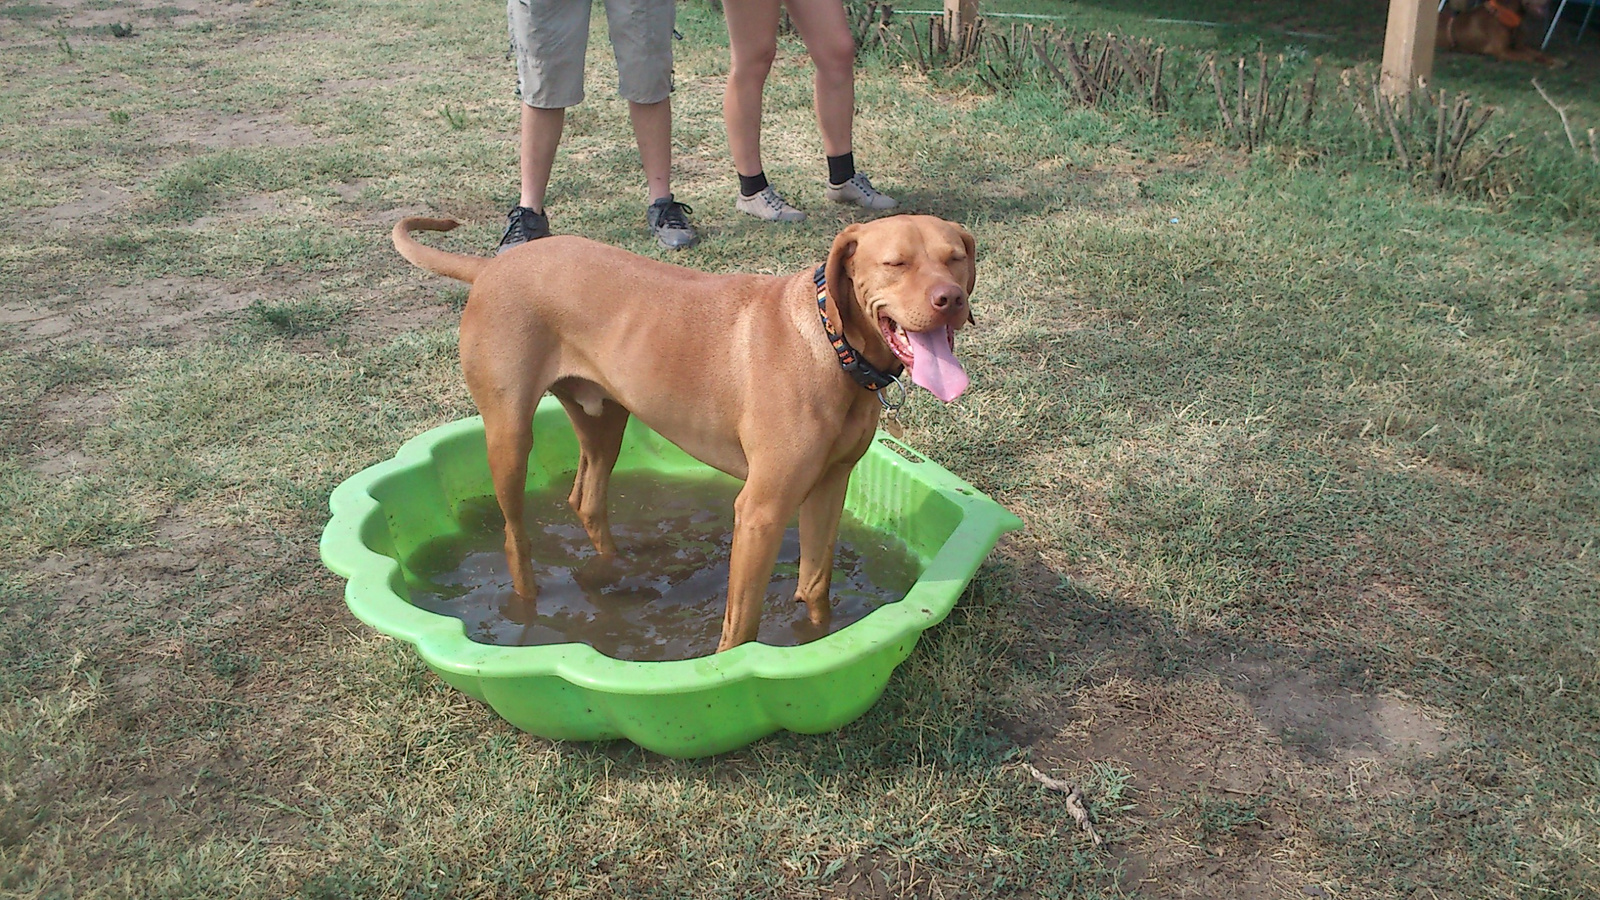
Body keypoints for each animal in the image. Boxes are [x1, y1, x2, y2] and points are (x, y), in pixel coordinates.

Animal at [396, 217, 972, 650]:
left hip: (604, 418)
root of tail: (492, 265)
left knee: (587, 499)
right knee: (516, 535)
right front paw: (731, 673)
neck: (834, 347)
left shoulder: (830, 486)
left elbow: (815, 586)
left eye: (956, 258)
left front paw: (817, 640)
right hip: (511, 434)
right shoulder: (761, 510)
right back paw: (530, 606)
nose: (950, 300)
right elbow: (741, 625)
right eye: (895, 263)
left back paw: (616, 571)